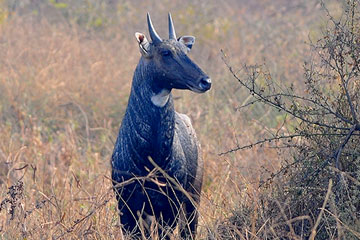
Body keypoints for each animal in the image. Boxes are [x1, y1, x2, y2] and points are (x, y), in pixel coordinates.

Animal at [112, 12, 211, 238]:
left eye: (186, 50)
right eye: (166, 52)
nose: (206, 81)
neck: (149, 155)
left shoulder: (169, 206)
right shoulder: (126, 206)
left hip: (192, 199)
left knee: (188, 231)